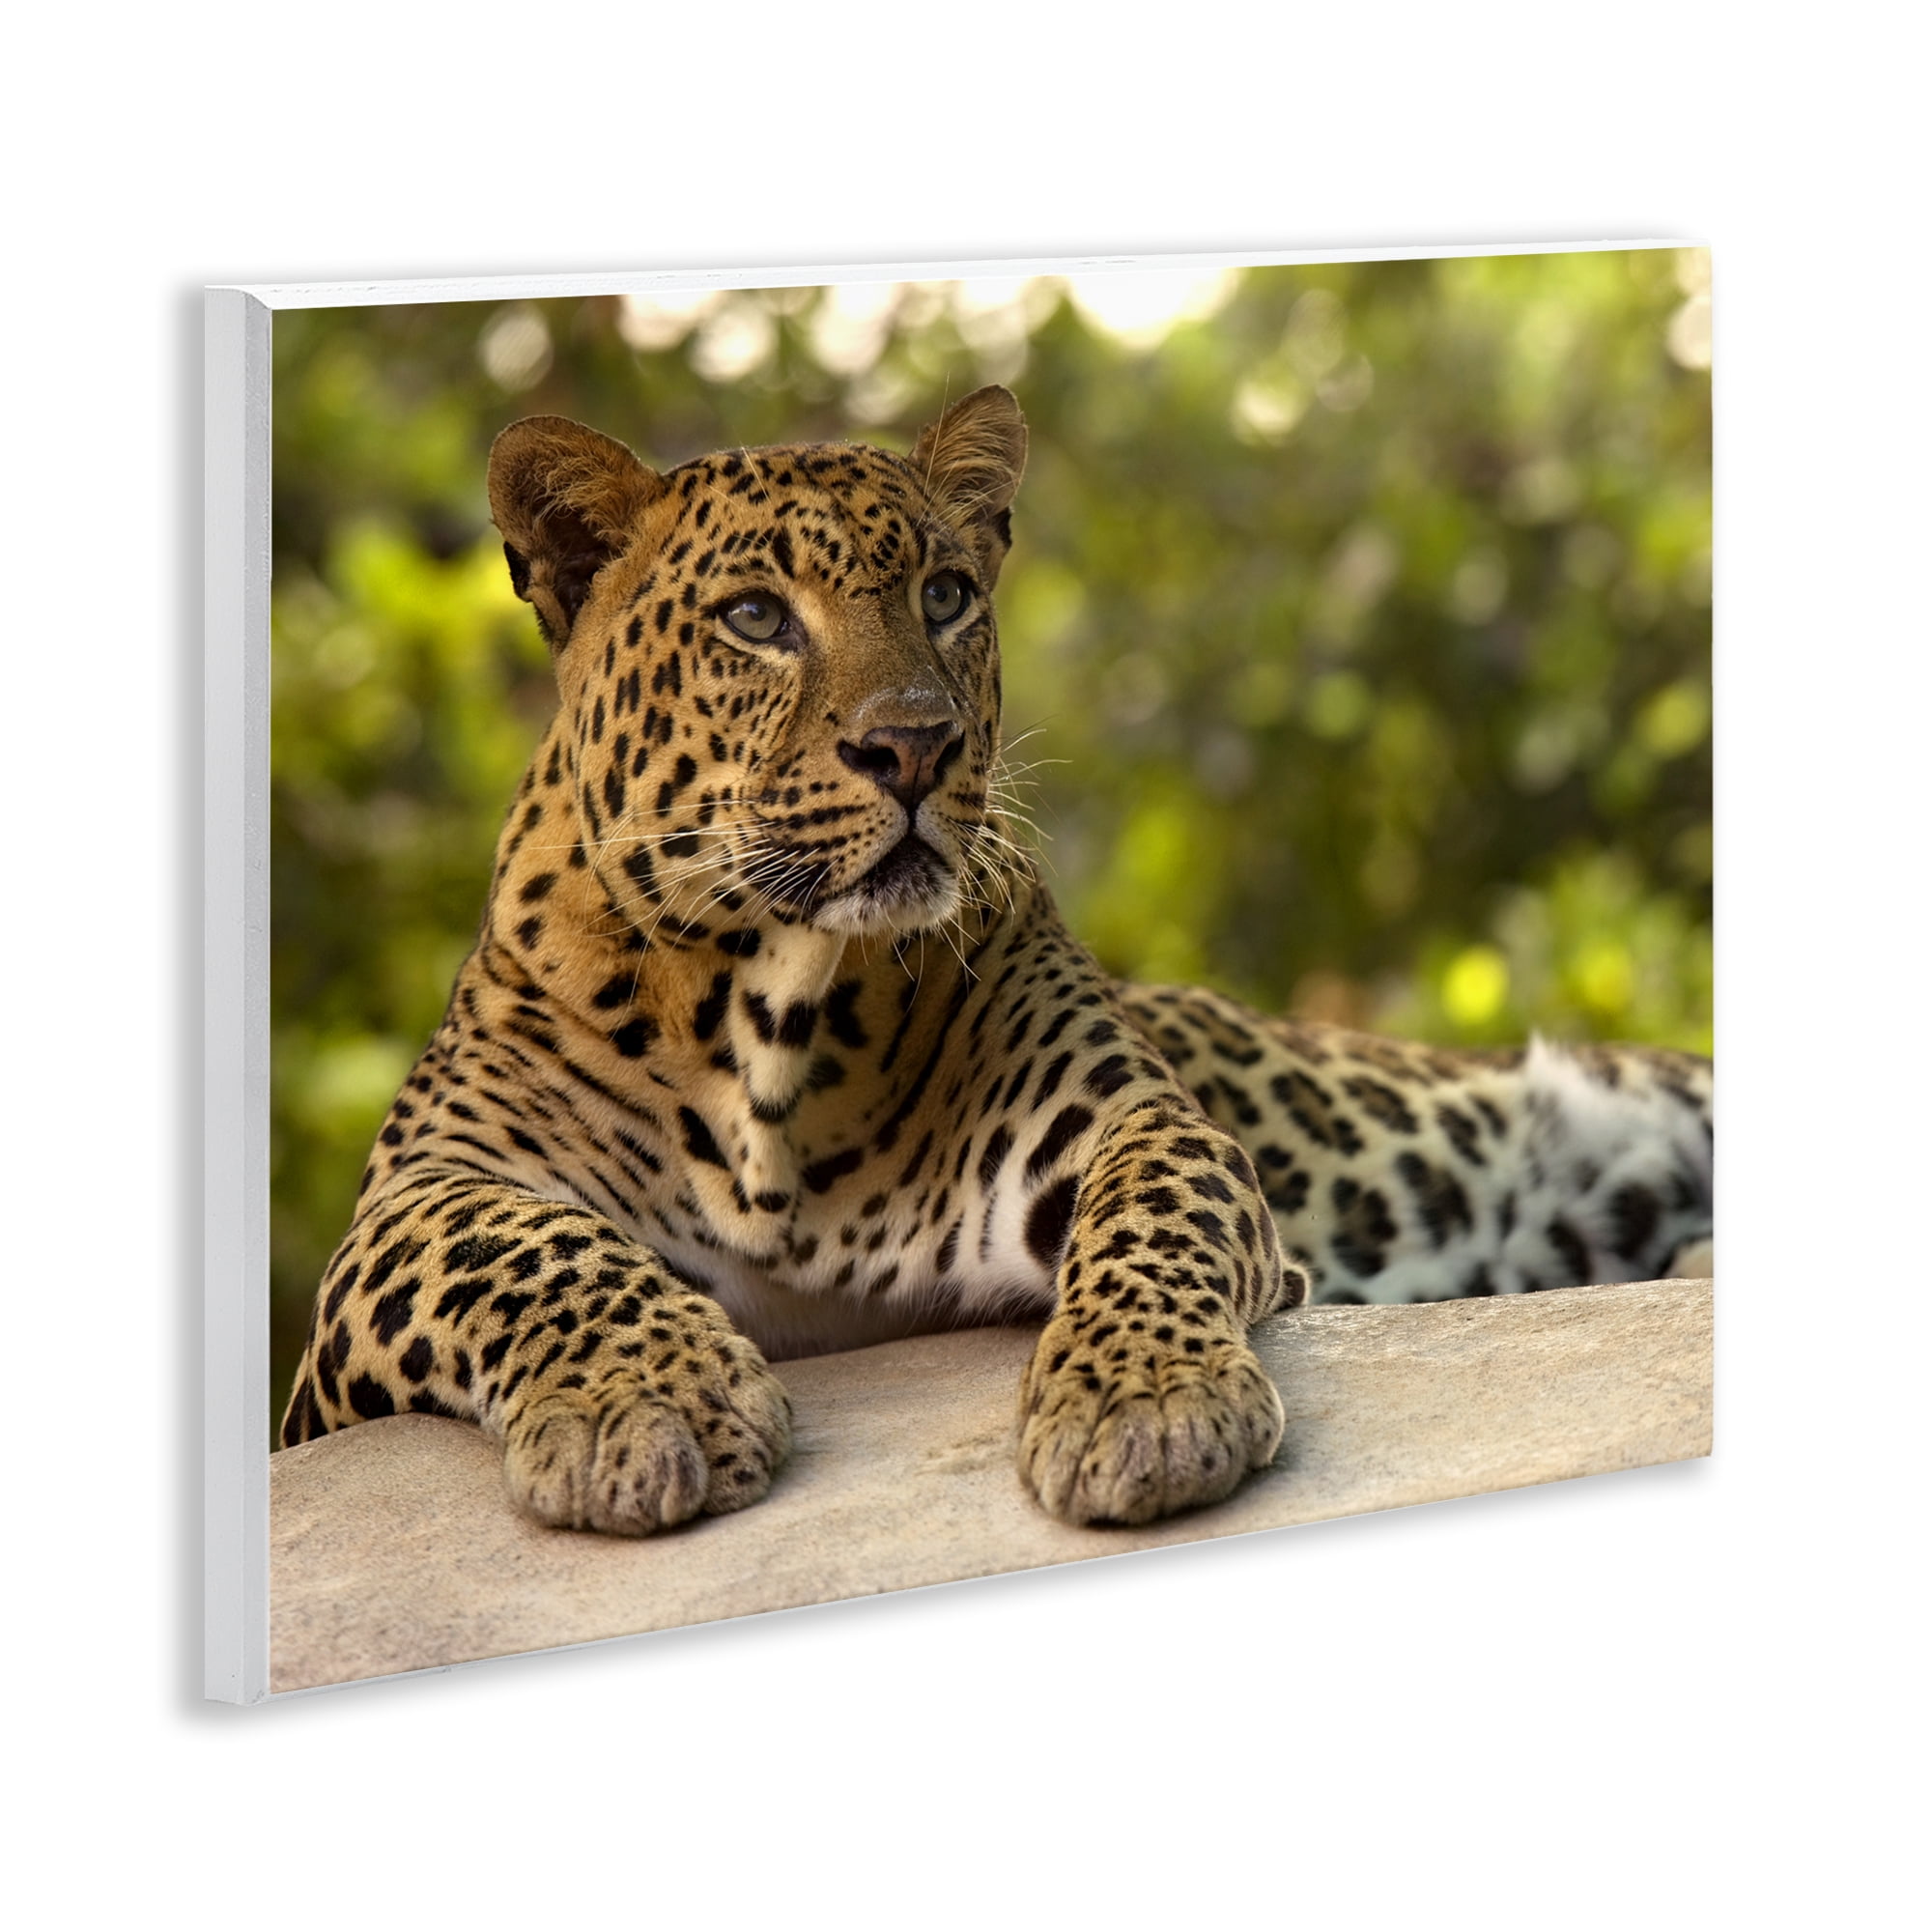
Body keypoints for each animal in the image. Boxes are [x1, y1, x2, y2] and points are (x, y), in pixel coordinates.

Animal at [279, 385, 1714, 1535]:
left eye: (945, 595)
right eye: (754, 616)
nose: (915, 746)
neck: (770, 1010)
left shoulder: (1117, 1118)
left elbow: (1152, 1209)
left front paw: (1145, 1399)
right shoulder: (401, 1216)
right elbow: (524, 1244)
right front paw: (646, 1402)